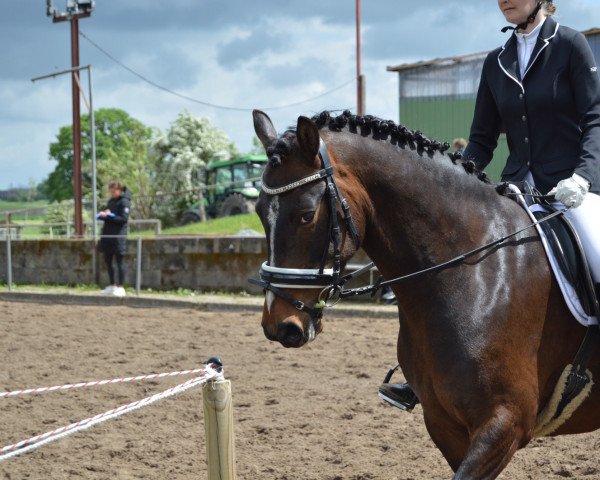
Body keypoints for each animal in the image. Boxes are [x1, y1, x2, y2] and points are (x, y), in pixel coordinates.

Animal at [250, 109, 600, 480]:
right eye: (259, 212)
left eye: (306, 215)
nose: (279, 326)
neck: (474, 272)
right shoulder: (442, 422)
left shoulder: (506, 421)